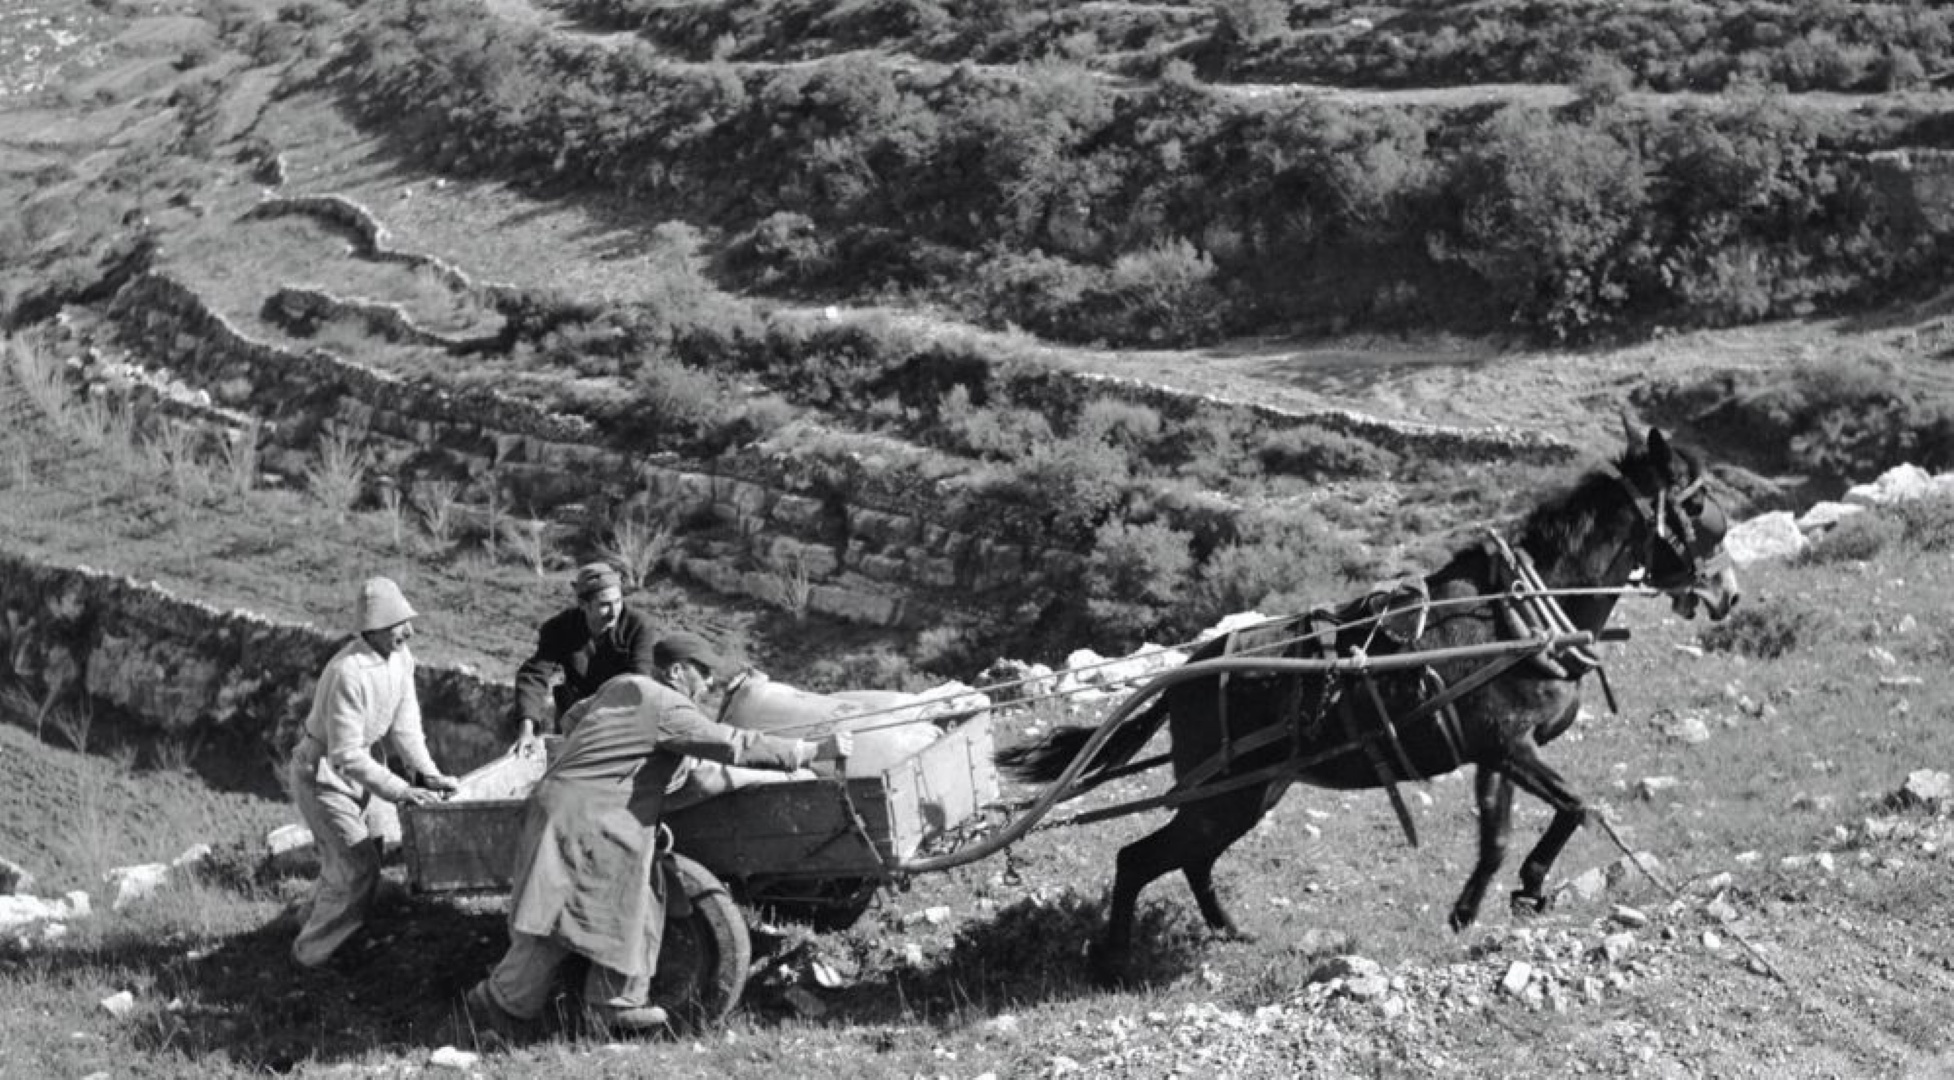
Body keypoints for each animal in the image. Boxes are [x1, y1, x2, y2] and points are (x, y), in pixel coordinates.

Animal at [996, 422, 1742, 984]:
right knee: (1140, 860)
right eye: (1698, 505)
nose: (1728, 594)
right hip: (1227, 796)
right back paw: (1116, 960)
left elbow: (1498, 839)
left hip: (1250, 793)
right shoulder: (1512, 746)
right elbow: (1577, 806)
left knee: (1191, 860)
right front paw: (1530, 886)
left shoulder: (1496, 754)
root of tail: (1191, 667)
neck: (1523, 610)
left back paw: (1229, 932)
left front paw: (1476, 907)